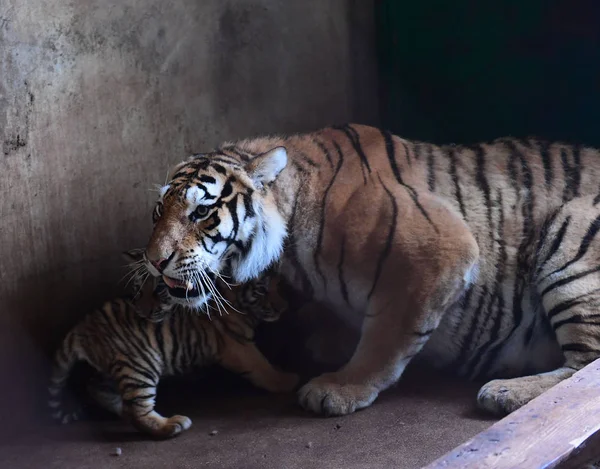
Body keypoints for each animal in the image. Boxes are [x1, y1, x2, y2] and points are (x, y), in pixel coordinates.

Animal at [142, 123, 600, 414]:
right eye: (159, 211)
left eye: (202, 212)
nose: (154, 261)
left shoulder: (440, 249)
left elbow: (385, 339)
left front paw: (340, 389)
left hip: (571, 228)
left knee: (585, 370)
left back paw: (504, 391)